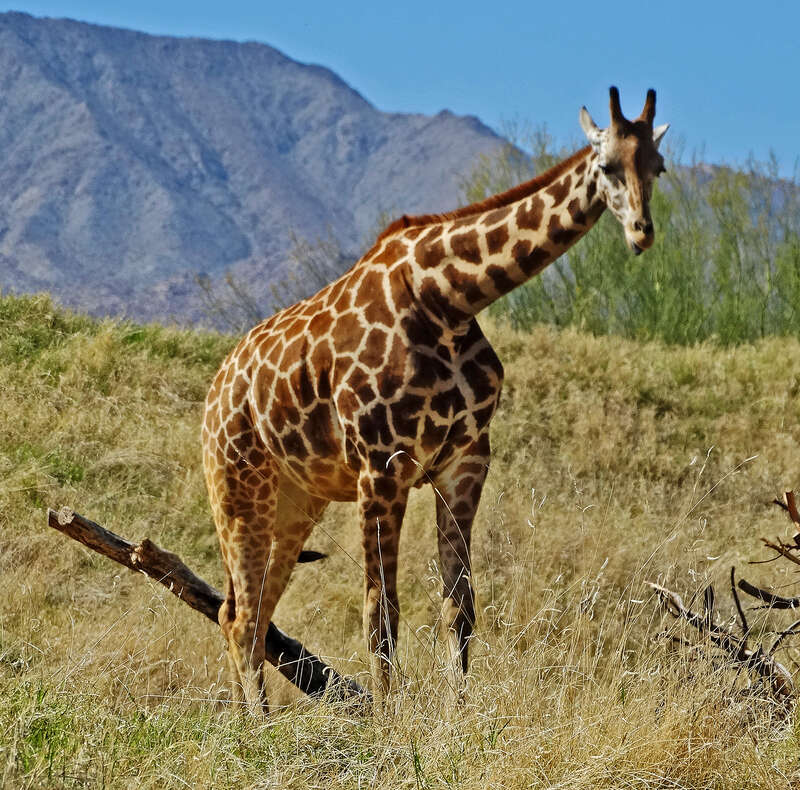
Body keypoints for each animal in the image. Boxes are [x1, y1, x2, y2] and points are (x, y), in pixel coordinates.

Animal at [202, 86, 669, 712]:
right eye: (608, 166)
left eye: (658, 167)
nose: (642, 232)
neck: (448, 299)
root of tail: (216, 390)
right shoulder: (382, 468)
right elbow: (381, 613)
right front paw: (389, 720)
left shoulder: (464, 461)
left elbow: (460, 607)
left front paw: (460, 712)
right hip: (237, 488)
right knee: (242, 610)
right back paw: (259, 724)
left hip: (296, 501)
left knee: (243, 611)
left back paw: (251, 719)